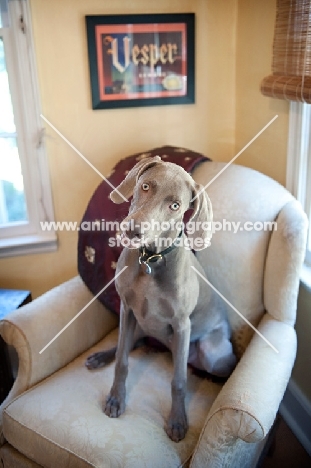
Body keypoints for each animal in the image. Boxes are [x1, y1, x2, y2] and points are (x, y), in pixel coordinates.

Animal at [85, 156, 236, 442]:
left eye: (175, 205)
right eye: (145, 186)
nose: (132, 231)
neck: (150, 260)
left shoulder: (182, 325)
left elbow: (178, 382)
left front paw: (177, 420)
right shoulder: (127, 310)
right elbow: (122, 359)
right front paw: (116, 399)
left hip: (210, 351)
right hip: (140, 326)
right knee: (127, 345)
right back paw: (99, 357)